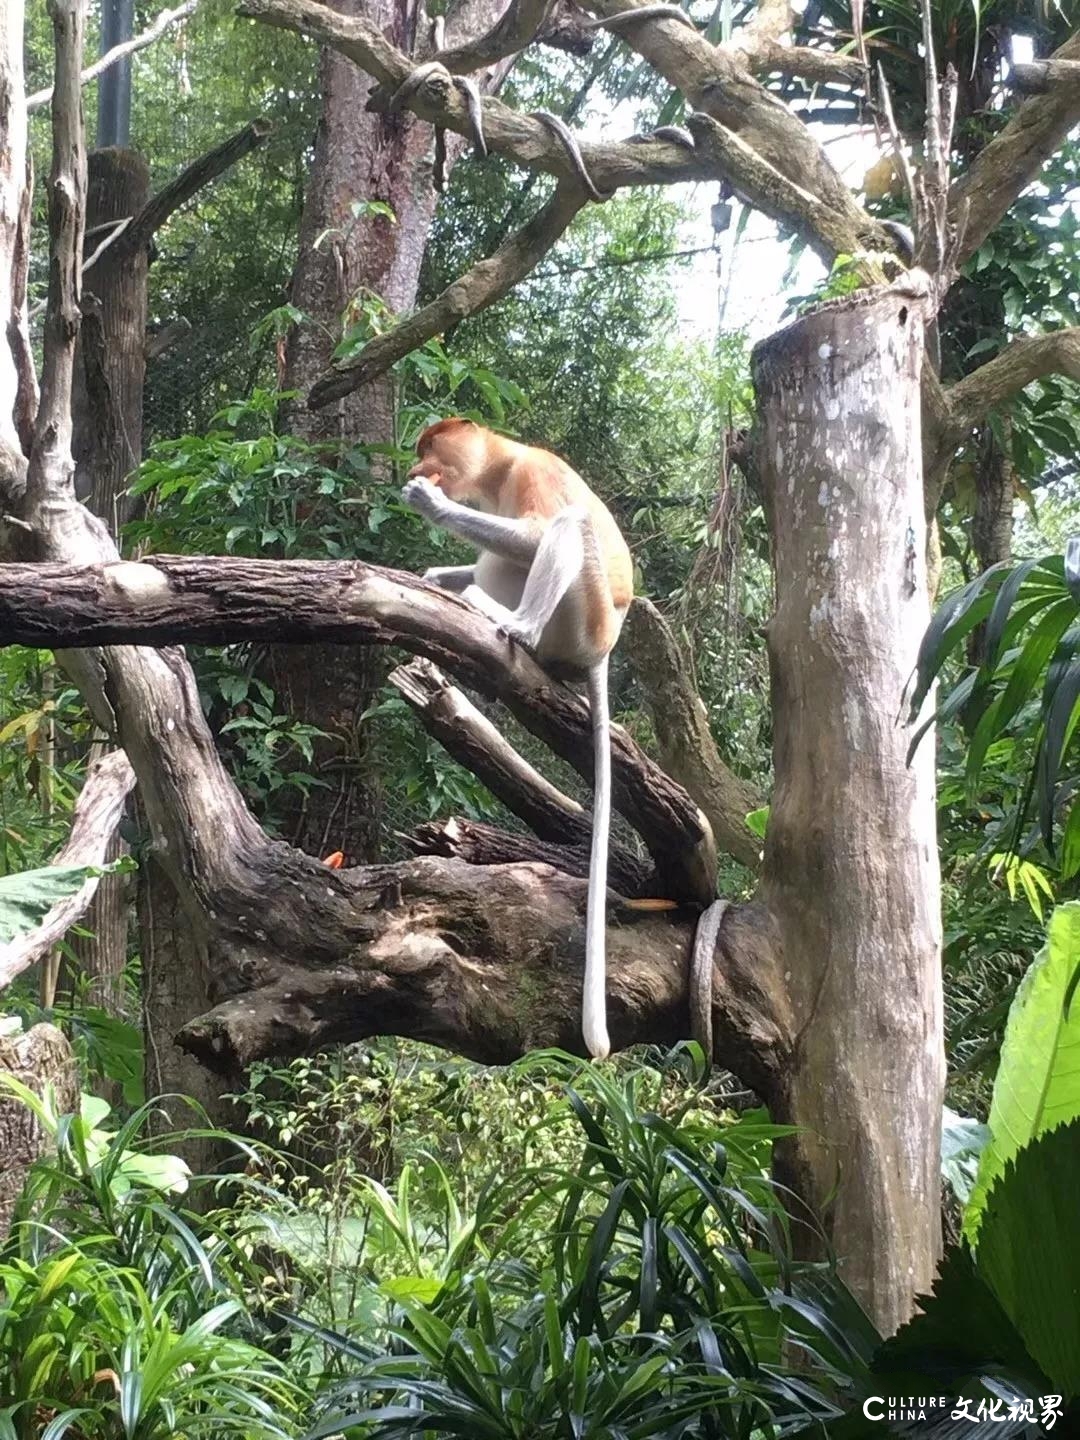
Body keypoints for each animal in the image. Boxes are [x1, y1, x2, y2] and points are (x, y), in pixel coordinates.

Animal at [403, 417, 633, 1059]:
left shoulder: (534, 472)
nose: (416, 467)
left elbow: (534, 534)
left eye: (429, 446)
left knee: (564, 527)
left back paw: (512, 625)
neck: (502, 467)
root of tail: (604, 648)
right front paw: (431, 575)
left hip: (580, 618)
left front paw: (428, 503)